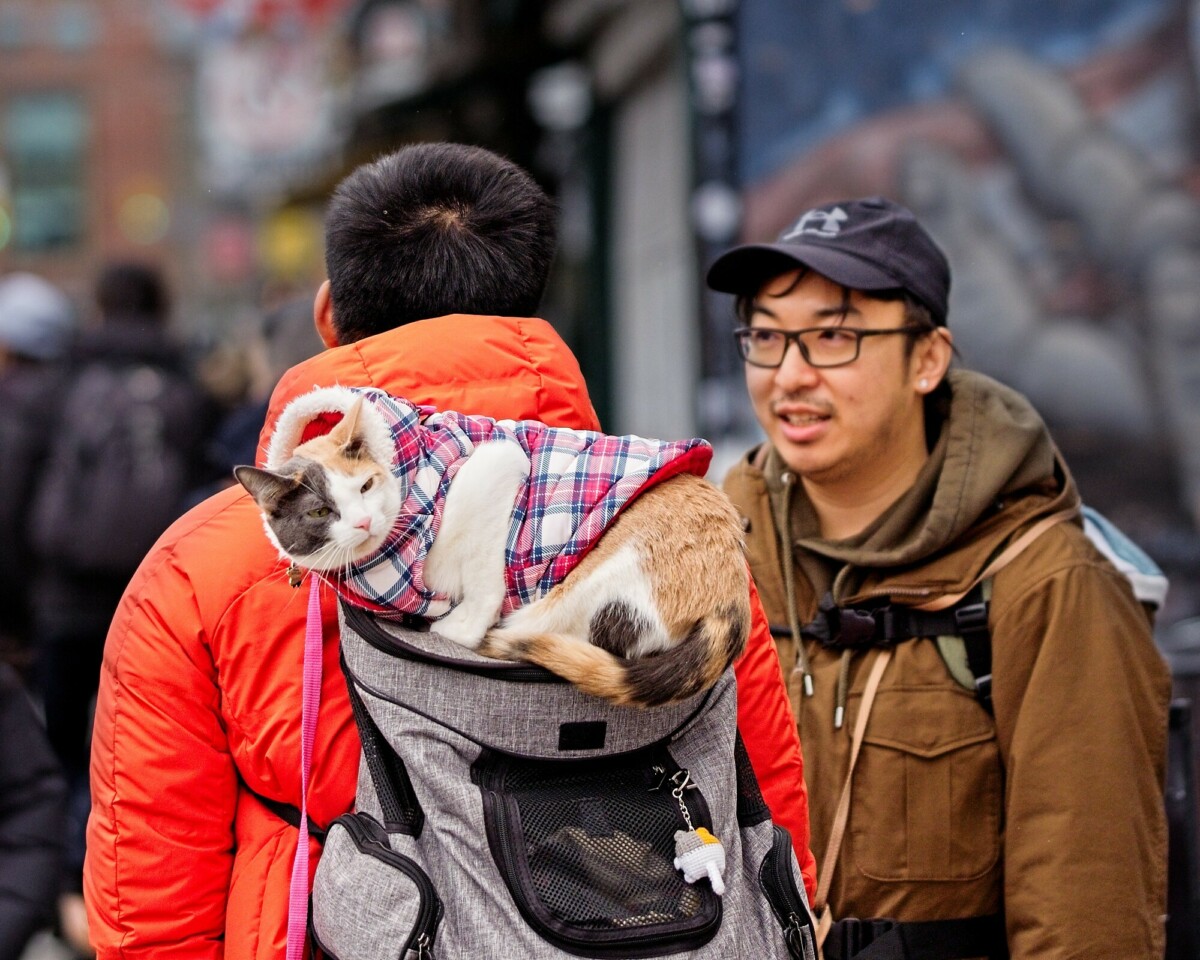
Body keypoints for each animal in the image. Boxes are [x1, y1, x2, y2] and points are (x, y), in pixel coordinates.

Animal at [231, 386, 748, 710]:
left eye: (365, 486)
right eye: (320, 512)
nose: (362, 520)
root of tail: (732, 600)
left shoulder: (497, 459)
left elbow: (481, 580)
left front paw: (458, 625)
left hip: (588, 579)